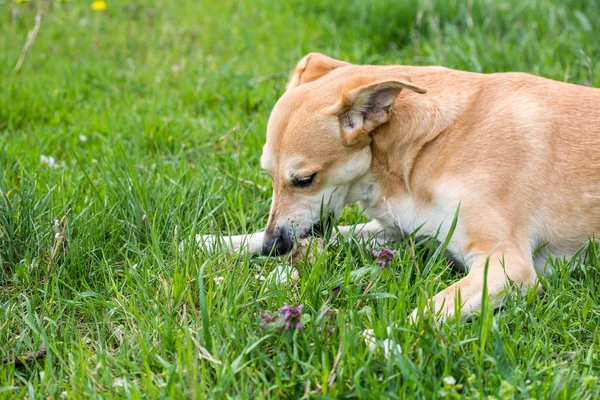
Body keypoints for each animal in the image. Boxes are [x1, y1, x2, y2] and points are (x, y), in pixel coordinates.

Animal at [199, 53, 600, 320]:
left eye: (304, 180)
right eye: (268, 174)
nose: (273, 247)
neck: (427, 148)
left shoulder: (507, 265)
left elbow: (429, 310)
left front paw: (382, 343)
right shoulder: (401, 232)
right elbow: (338, 234)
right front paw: (215, 242)